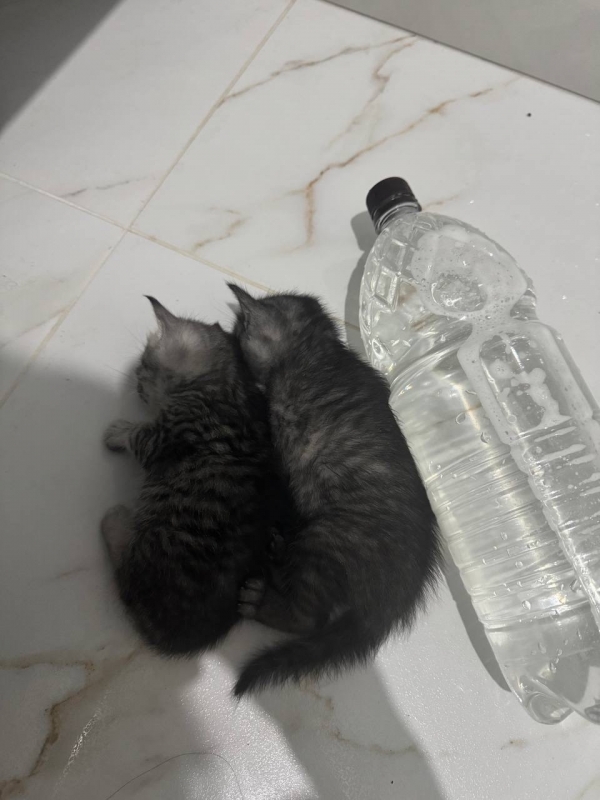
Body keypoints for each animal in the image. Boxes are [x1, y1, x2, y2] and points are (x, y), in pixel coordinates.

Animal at [101, 296, 286, 655]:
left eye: (144, 365)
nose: (137, 383)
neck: (229, 385)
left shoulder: (161, 439)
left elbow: (138, 435)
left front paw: (119, 431)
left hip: (149, 551)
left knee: (124, 574)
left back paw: (115, 520)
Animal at [229, 286, 441, 696]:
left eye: (239, 335)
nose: (228, 341)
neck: (315, 350)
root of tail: (399, 594)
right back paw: (277, 549)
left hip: (327, 538)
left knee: (310, 618)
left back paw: (261, 599)